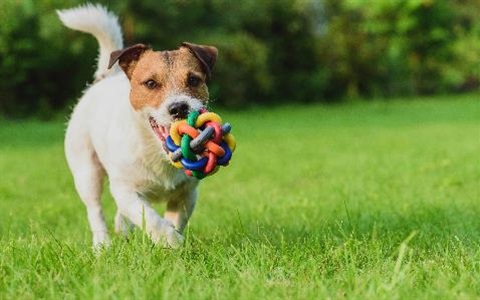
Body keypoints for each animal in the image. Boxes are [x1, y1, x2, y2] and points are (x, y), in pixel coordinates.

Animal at [57, 4, 218, 248]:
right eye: (150, 83)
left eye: (193, 80)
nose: (179, 107)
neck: (157, 152)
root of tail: (106, 77)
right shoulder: (126, 190)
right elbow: (151, 219)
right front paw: (171, 242)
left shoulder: (187, 194)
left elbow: (174, 220)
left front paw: (174, 240)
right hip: (87, 171)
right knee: (95, 209)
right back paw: (102, 245)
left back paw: (122, 228)